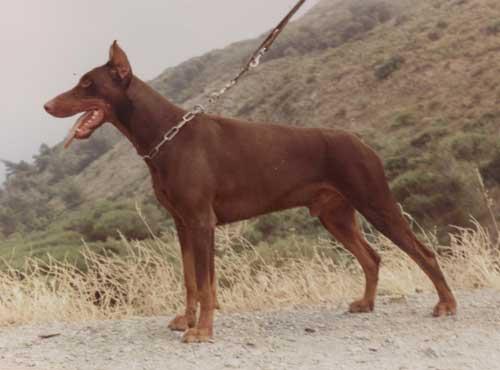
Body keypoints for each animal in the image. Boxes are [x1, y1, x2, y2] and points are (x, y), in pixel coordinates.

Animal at [44, 42, 458, 342]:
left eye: (87, 84)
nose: (47, 104)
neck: (165, 136)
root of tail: (363, 142)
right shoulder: (182, 224)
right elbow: (191, 280)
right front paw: (187, 320)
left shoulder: (202, 221)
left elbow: (206, 284)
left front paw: (202, 331)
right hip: (334, 215)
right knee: (371, 257)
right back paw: (367, 303)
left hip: (376, 202)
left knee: (424, 253)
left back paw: (446, 304)